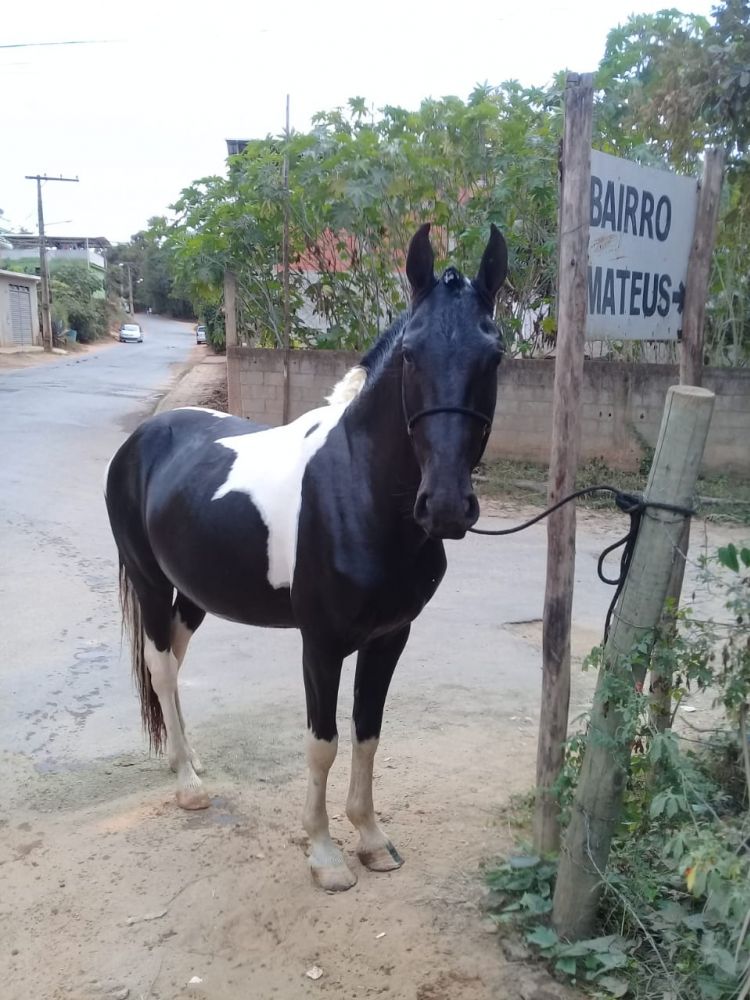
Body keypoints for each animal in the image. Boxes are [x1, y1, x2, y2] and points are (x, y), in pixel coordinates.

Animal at [105, 223, 508, 892]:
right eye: (410, 354)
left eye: (494, 355)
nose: (447, 507)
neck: (357, 493)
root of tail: (144, 438)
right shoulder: (319, 642)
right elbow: (323, 742)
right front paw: (324, 854)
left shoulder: (389, 637)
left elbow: (368, 734)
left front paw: (371, 839)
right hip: (149, 583)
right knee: (160, 667)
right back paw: (189, 786)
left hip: (194, 595)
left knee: (174, 667)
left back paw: (187, 759)